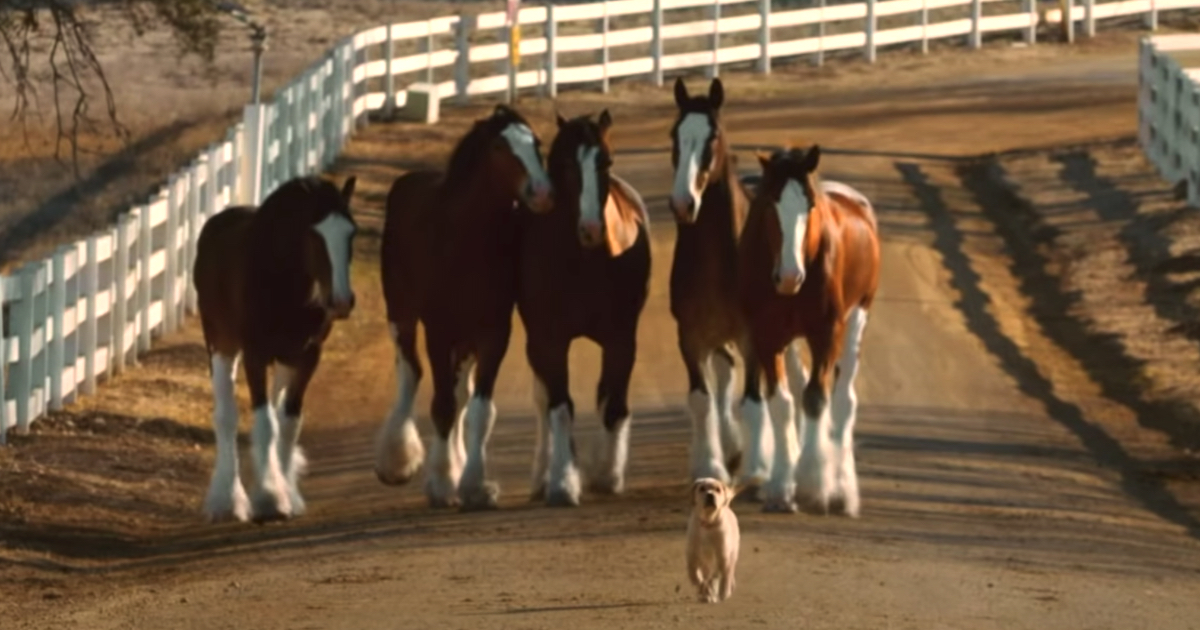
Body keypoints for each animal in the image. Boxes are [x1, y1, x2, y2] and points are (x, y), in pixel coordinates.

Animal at [193, 174, 355, 523]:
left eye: (351, 232)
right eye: (315, 234)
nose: (341, 301)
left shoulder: (307, 356)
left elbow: (288, 422)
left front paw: (287, 495)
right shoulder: (254, 354)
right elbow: (265, 422)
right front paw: (269, 499)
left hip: (283, 360)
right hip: (221, 346)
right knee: (225, 416)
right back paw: (226, 500)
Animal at [374, 103, 552, 511]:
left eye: (536, 142)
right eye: (501, 148)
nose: (541, 191)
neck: (465, 238)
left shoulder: (492, 334)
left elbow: (478, 411)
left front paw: (474, 485)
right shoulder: (439, 332)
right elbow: (440, 405)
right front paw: (441, 484)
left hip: (465, 340)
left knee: (459, 395)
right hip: (402, 316)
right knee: (410, 373)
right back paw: (397, 460)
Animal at [516, 109, 648, 506]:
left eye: (606, 161)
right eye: (562, 164)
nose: (591, 229)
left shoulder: (622, 339)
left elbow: (613, 404)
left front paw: (609, 476)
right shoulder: (548, 341)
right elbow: (559, 408)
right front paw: (562, 482)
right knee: (544, 402)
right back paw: (543, 476)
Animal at [667, 77, 806, 496]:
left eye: (712, 137)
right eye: (674, 135)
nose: (683, 203)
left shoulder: (752, 335)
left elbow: (754, 400)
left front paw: (759, 468)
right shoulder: (691, 336)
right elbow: (702, 399)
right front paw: (710, 464)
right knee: (725, 375)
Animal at [739, 143, 883, 516]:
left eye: (811, 205)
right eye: (769, 203)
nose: (790, 276)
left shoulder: (825, 333)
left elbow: (816, 398)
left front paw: (814, 485)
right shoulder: (766, 337)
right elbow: (781, 403)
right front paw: (780, 487)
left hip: (857, 319)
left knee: (844, 398)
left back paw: (843, 489)